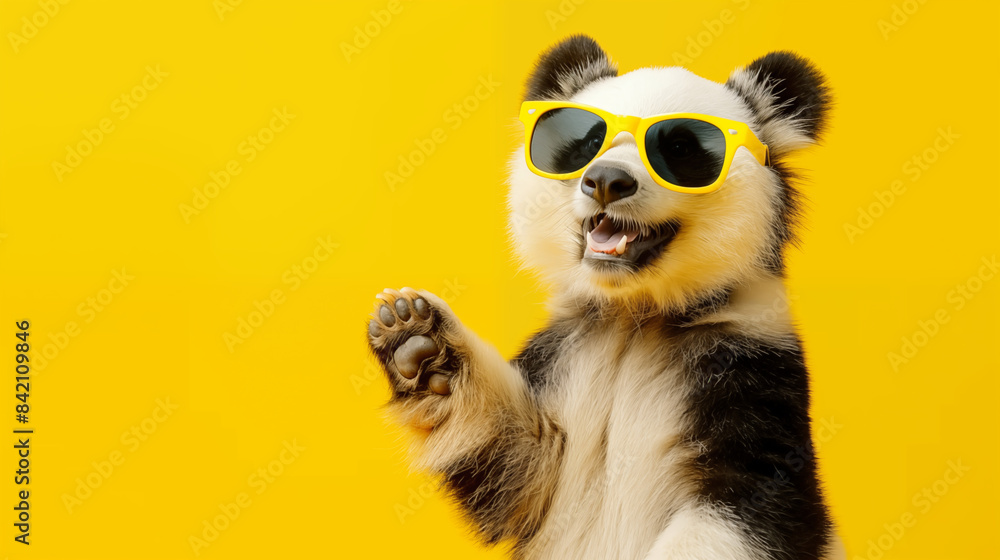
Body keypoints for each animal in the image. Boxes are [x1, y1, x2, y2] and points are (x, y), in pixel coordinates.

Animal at [367, 35, 844, 560]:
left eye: (680, 148)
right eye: (587, 142)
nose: (608, 181)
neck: (634, 313)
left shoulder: (752, 363)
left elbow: (751, 507)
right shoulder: (566, 354)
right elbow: (523, 467)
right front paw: (419, 341)